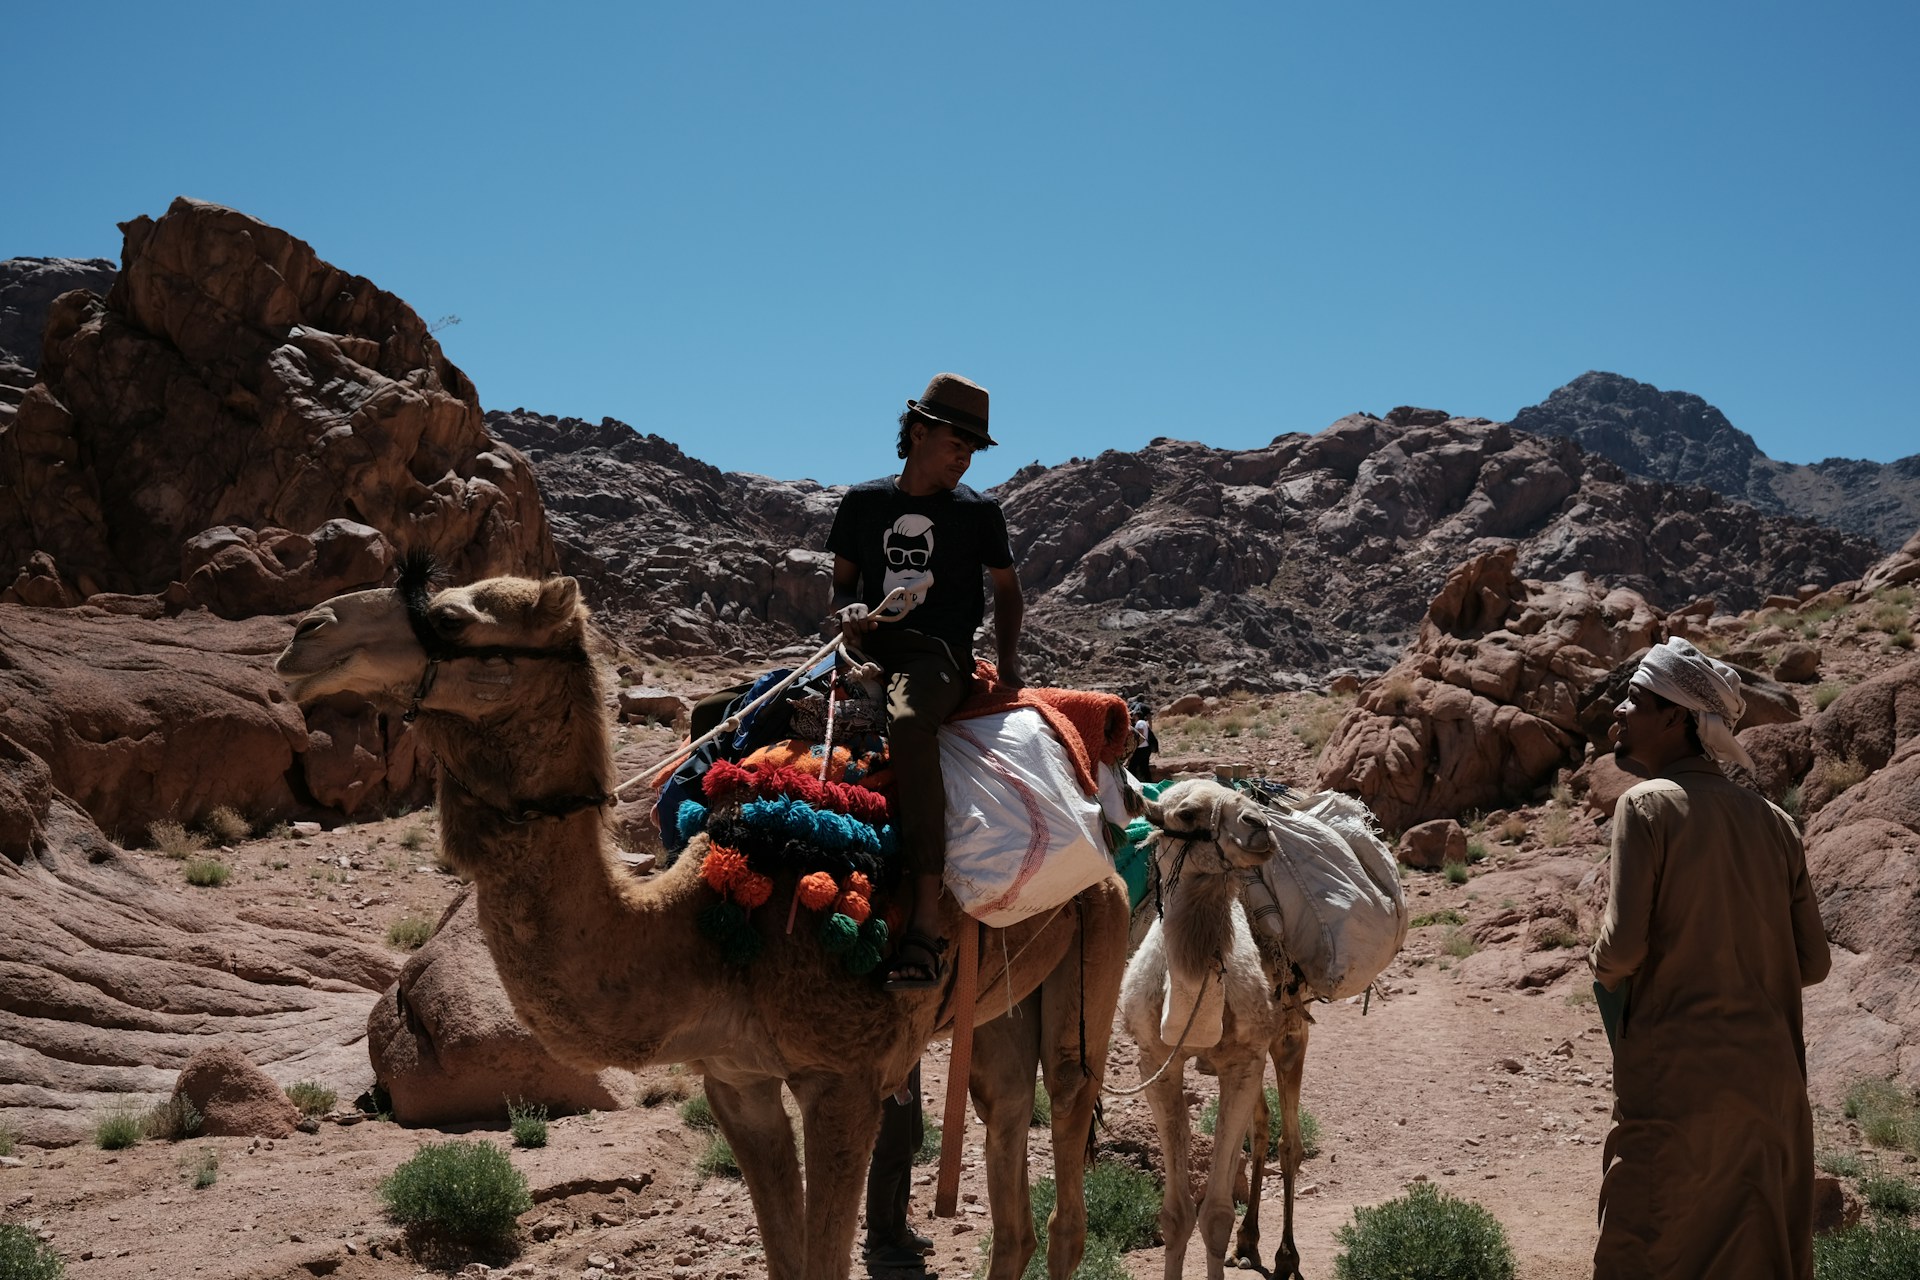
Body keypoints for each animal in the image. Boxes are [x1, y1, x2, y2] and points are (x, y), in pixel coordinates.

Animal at [278, 575, 1128, 1274]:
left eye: (453, 617)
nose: (304, 631)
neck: (700, 934)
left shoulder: (843, 1078)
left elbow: (824, 1261)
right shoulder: (735, 1079)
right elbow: (787, 1261)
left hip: (1102, 927)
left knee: (1069, 1125)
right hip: (998, 997)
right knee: (1007, 1119)